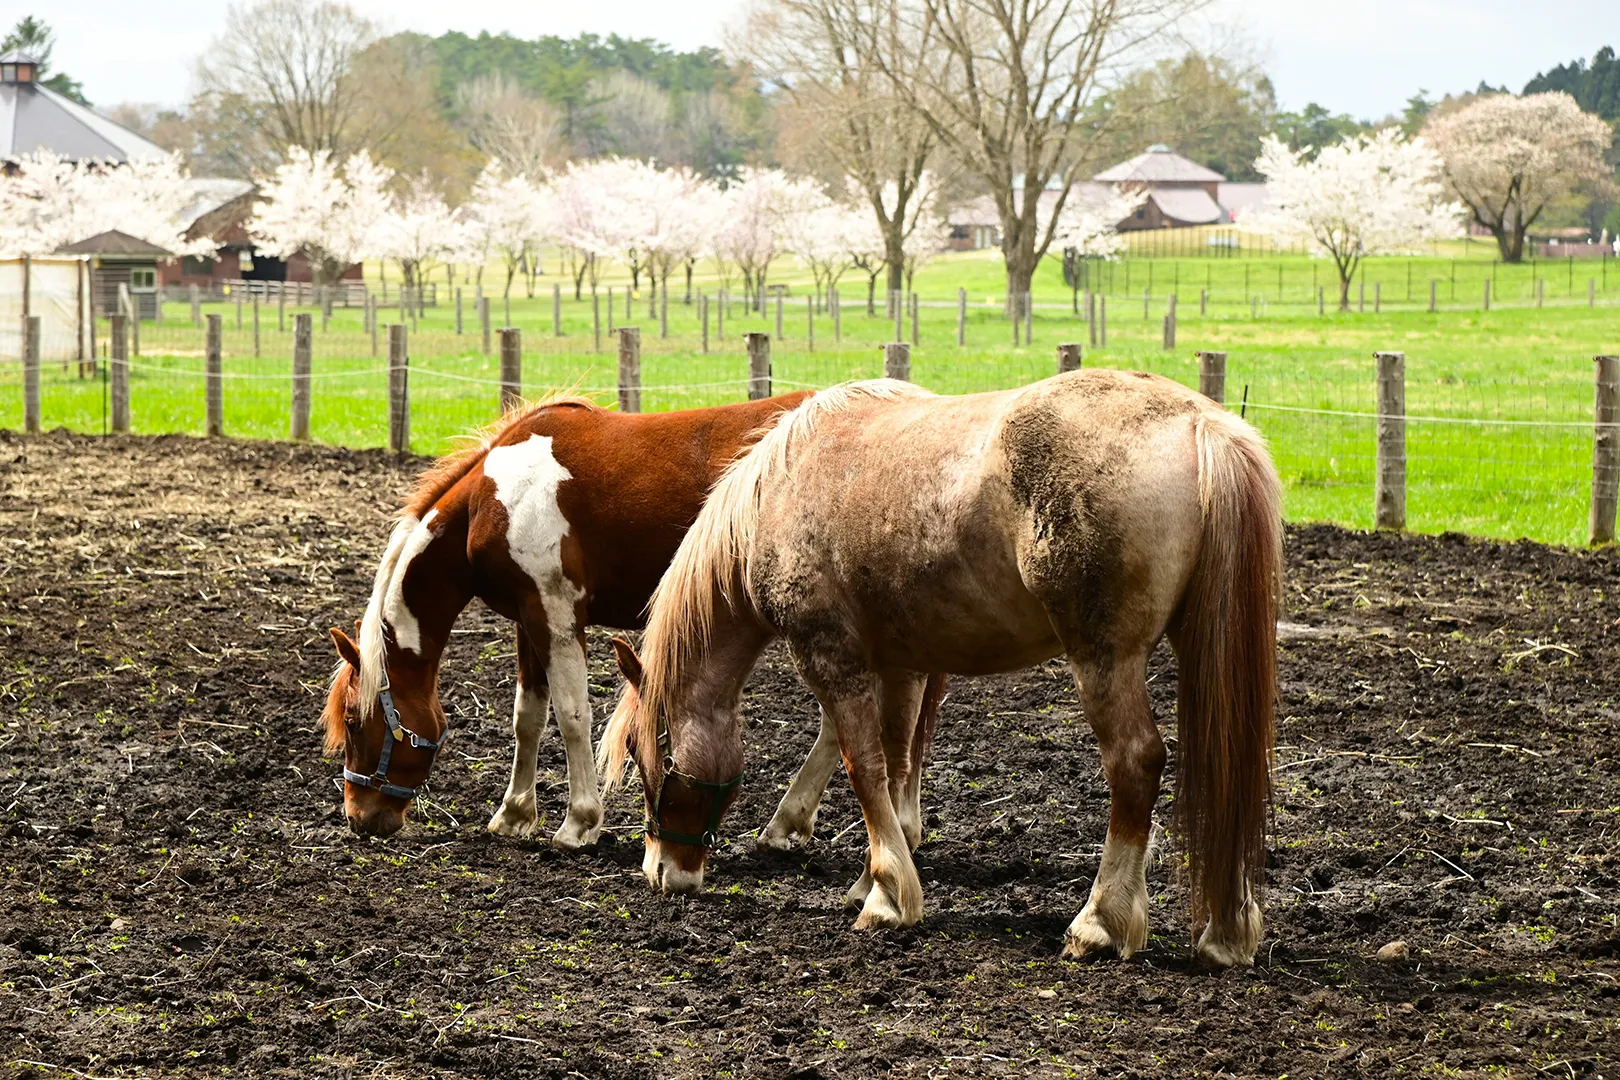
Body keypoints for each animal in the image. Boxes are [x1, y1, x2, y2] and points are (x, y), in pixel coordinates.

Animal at [320, 388, 907, 841]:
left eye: (354, 720)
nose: (359, 817)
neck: (495, 500)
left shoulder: (558, 614)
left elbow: (573, 715)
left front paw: (579, 823)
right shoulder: (527, 618)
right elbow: (527, 717)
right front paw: (514, 815)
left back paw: (788, 824)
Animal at [602, 374, 1283, 971]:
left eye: (646, 753)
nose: (662, 870)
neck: (780, 492)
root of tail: (1202, 423)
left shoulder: (831, 657)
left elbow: (864, 766)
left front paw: (887, 898)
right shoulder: (902, 664)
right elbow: (897, 762)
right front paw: (875, 877)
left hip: (1104, 659)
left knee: (1136, 764)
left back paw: (1100, 923)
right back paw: (1225, 934)